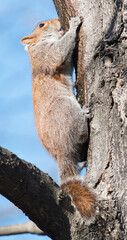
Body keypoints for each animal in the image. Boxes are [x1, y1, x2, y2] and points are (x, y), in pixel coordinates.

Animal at [21, 17, 95, 219]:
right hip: (64, 109)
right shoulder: (46, 55)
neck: (38, 44)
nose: (56, 20)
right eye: (41, 25)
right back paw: (85, 114)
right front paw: (73, 25)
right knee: (80, 132)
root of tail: (61, 152)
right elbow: (60, 51)